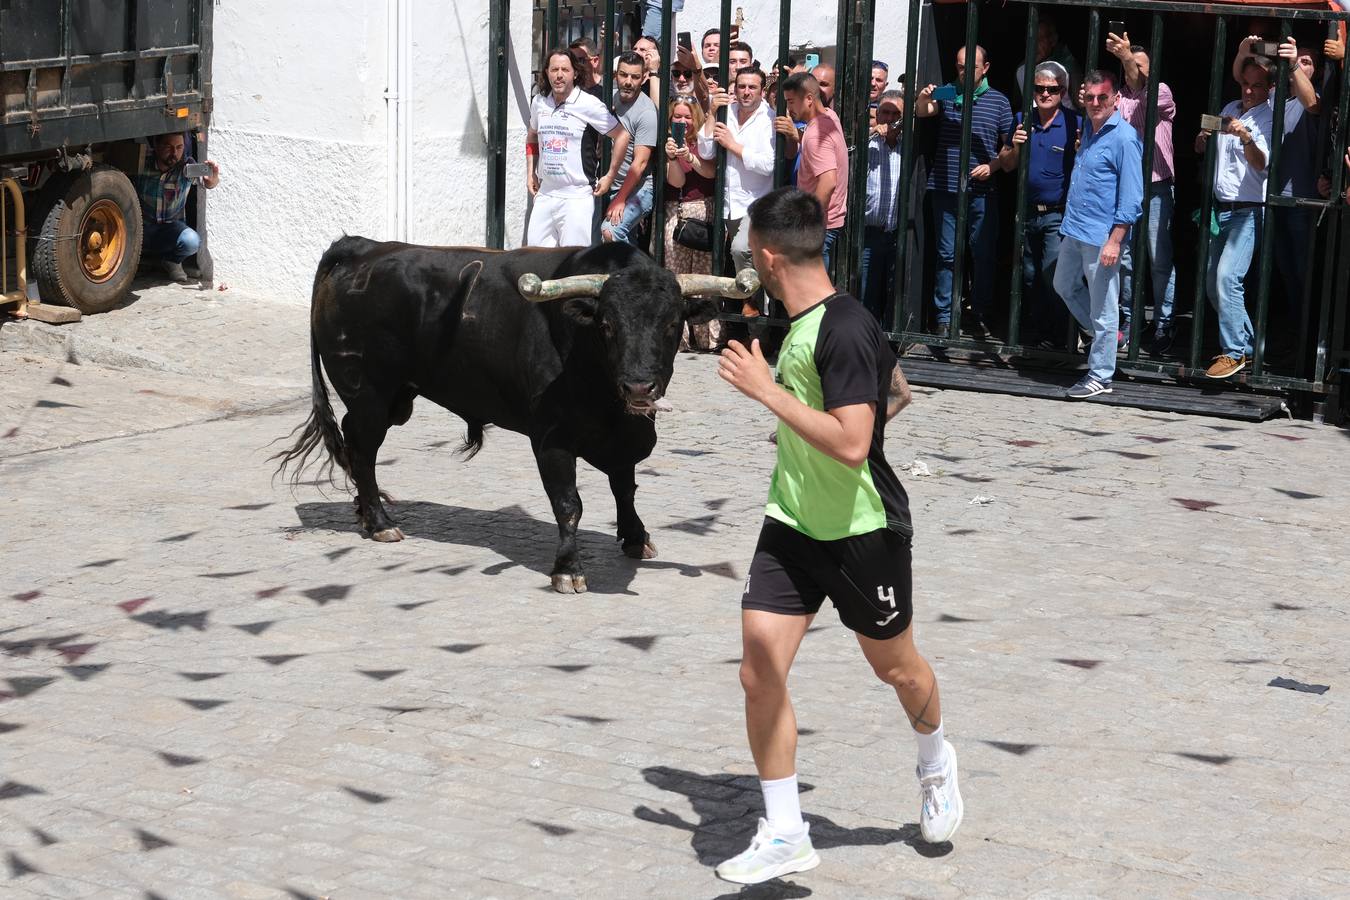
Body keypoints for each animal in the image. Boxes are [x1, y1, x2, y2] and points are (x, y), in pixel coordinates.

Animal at [274, 236, 761, 593]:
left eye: (671, 324)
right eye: (607, 325)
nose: (639, 387)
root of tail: (360, 247)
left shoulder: (628, 435)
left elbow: (625, 487)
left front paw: (636, 537)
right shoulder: (551, 439)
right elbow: (569, 504)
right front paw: (568, 569)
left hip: (393, 398)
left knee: (357, 448)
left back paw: (364, 512)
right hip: (370, 393)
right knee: (362, 447)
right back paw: (379, 522)